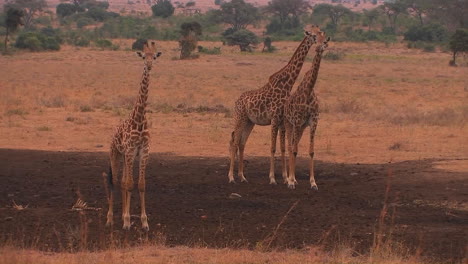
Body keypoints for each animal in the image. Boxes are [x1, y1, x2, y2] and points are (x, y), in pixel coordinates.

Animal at [102, 40, 161, 230]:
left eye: (154, 56)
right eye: (143, 56)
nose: (149, 66)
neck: (139, 119)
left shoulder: (143, 151)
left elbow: (140, 185)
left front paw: (144, 222)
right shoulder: (129, 151)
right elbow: (128, 184)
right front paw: (127, 221)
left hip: (126, 156)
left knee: (122, 181)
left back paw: (121, 215)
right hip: (115, 154)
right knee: (114, 181)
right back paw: (110, 219)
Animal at [229, 26, 320, 184]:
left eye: (320, 32)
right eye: (313, 34)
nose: (322, 40)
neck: (287, 84)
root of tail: (237, 101)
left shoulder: (282, 120)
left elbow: (283, 147)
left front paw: (285, 177)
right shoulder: (275, 119)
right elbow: (274, 147)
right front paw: (274, 178)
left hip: (249, 121)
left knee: (241, 143)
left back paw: (242, 176)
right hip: (240, 118)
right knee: (234, 141)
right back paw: (231, 177)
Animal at [284, 30, 330, 190]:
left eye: (325, 41)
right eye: (316, 39)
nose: (318, 48)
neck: (309, 89)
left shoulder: (313, 122)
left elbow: (311, 151)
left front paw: (313, 182)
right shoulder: (297, 121)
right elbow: (294, 150)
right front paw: (291, 181)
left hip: (301, 127)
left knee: (294, 145)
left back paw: (294, 178)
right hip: (289, 124)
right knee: (290, 147)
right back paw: (290, 179)